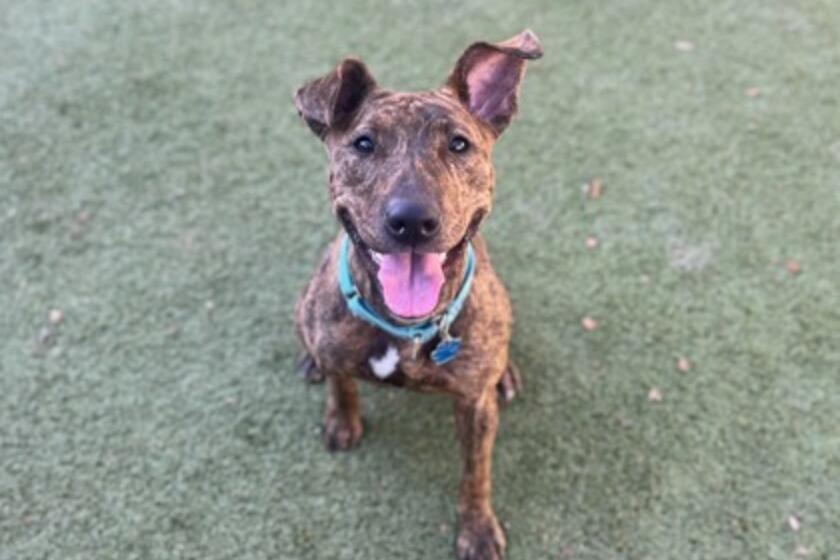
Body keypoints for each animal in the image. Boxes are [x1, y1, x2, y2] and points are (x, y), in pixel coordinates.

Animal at [293, 29, 542, 560]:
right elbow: (342, 382)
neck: (405, 327)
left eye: (459, 144)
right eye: (364, 143)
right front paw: (341, 419)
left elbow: (475, 474)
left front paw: (477, 529)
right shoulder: (335, 345)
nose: (411, 220)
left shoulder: (475, 408)